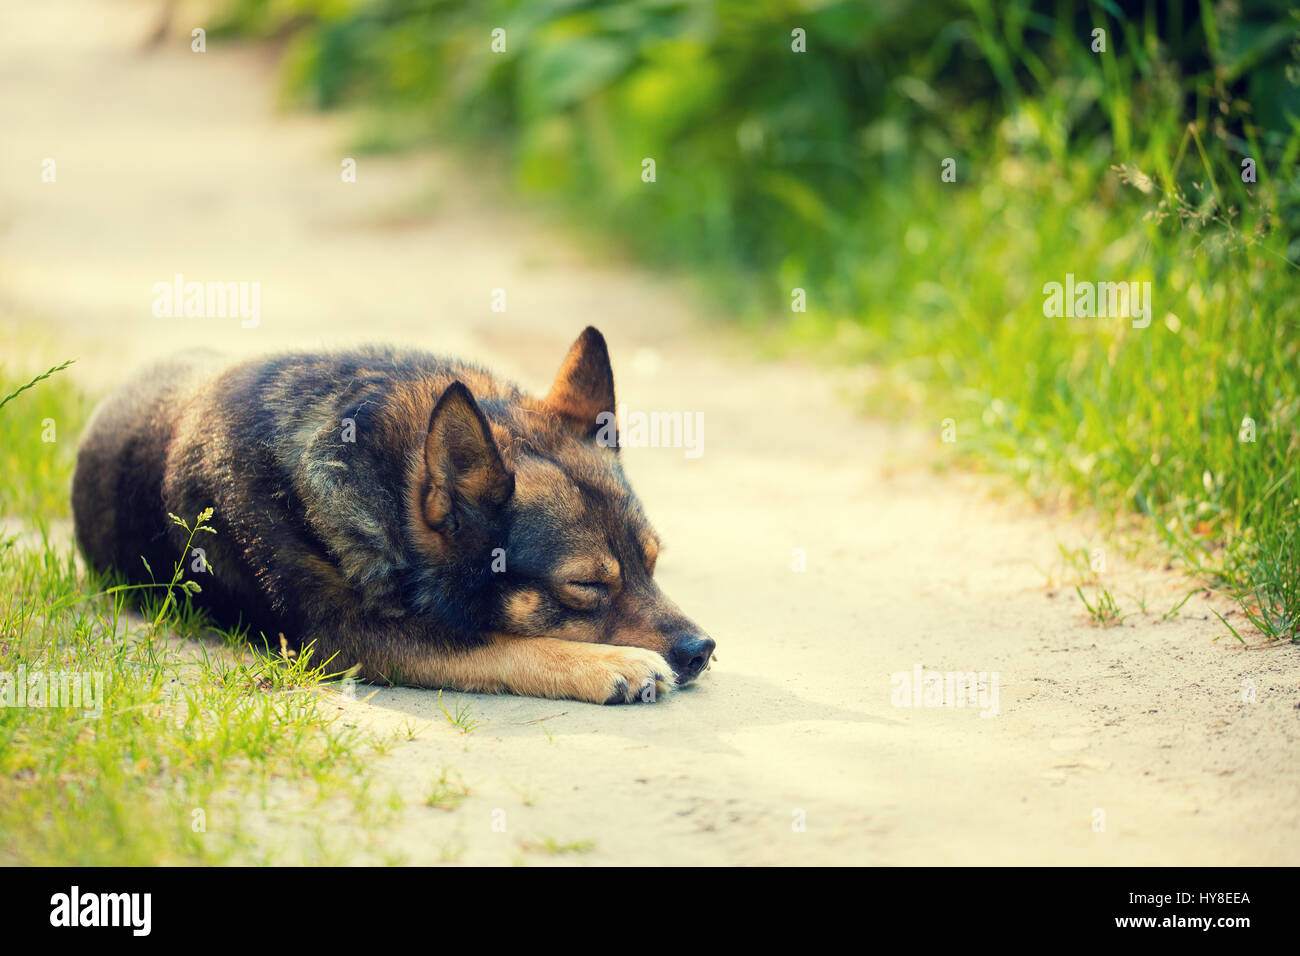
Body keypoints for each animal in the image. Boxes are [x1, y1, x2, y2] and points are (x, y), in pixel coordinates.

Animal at [73, 329, 712, 702]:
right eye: (585, 586)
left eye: (653, 562)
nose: (701, 650)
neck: (384, 474)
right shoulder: (345, 638)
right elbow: (502, 644)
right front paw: (611, 665)